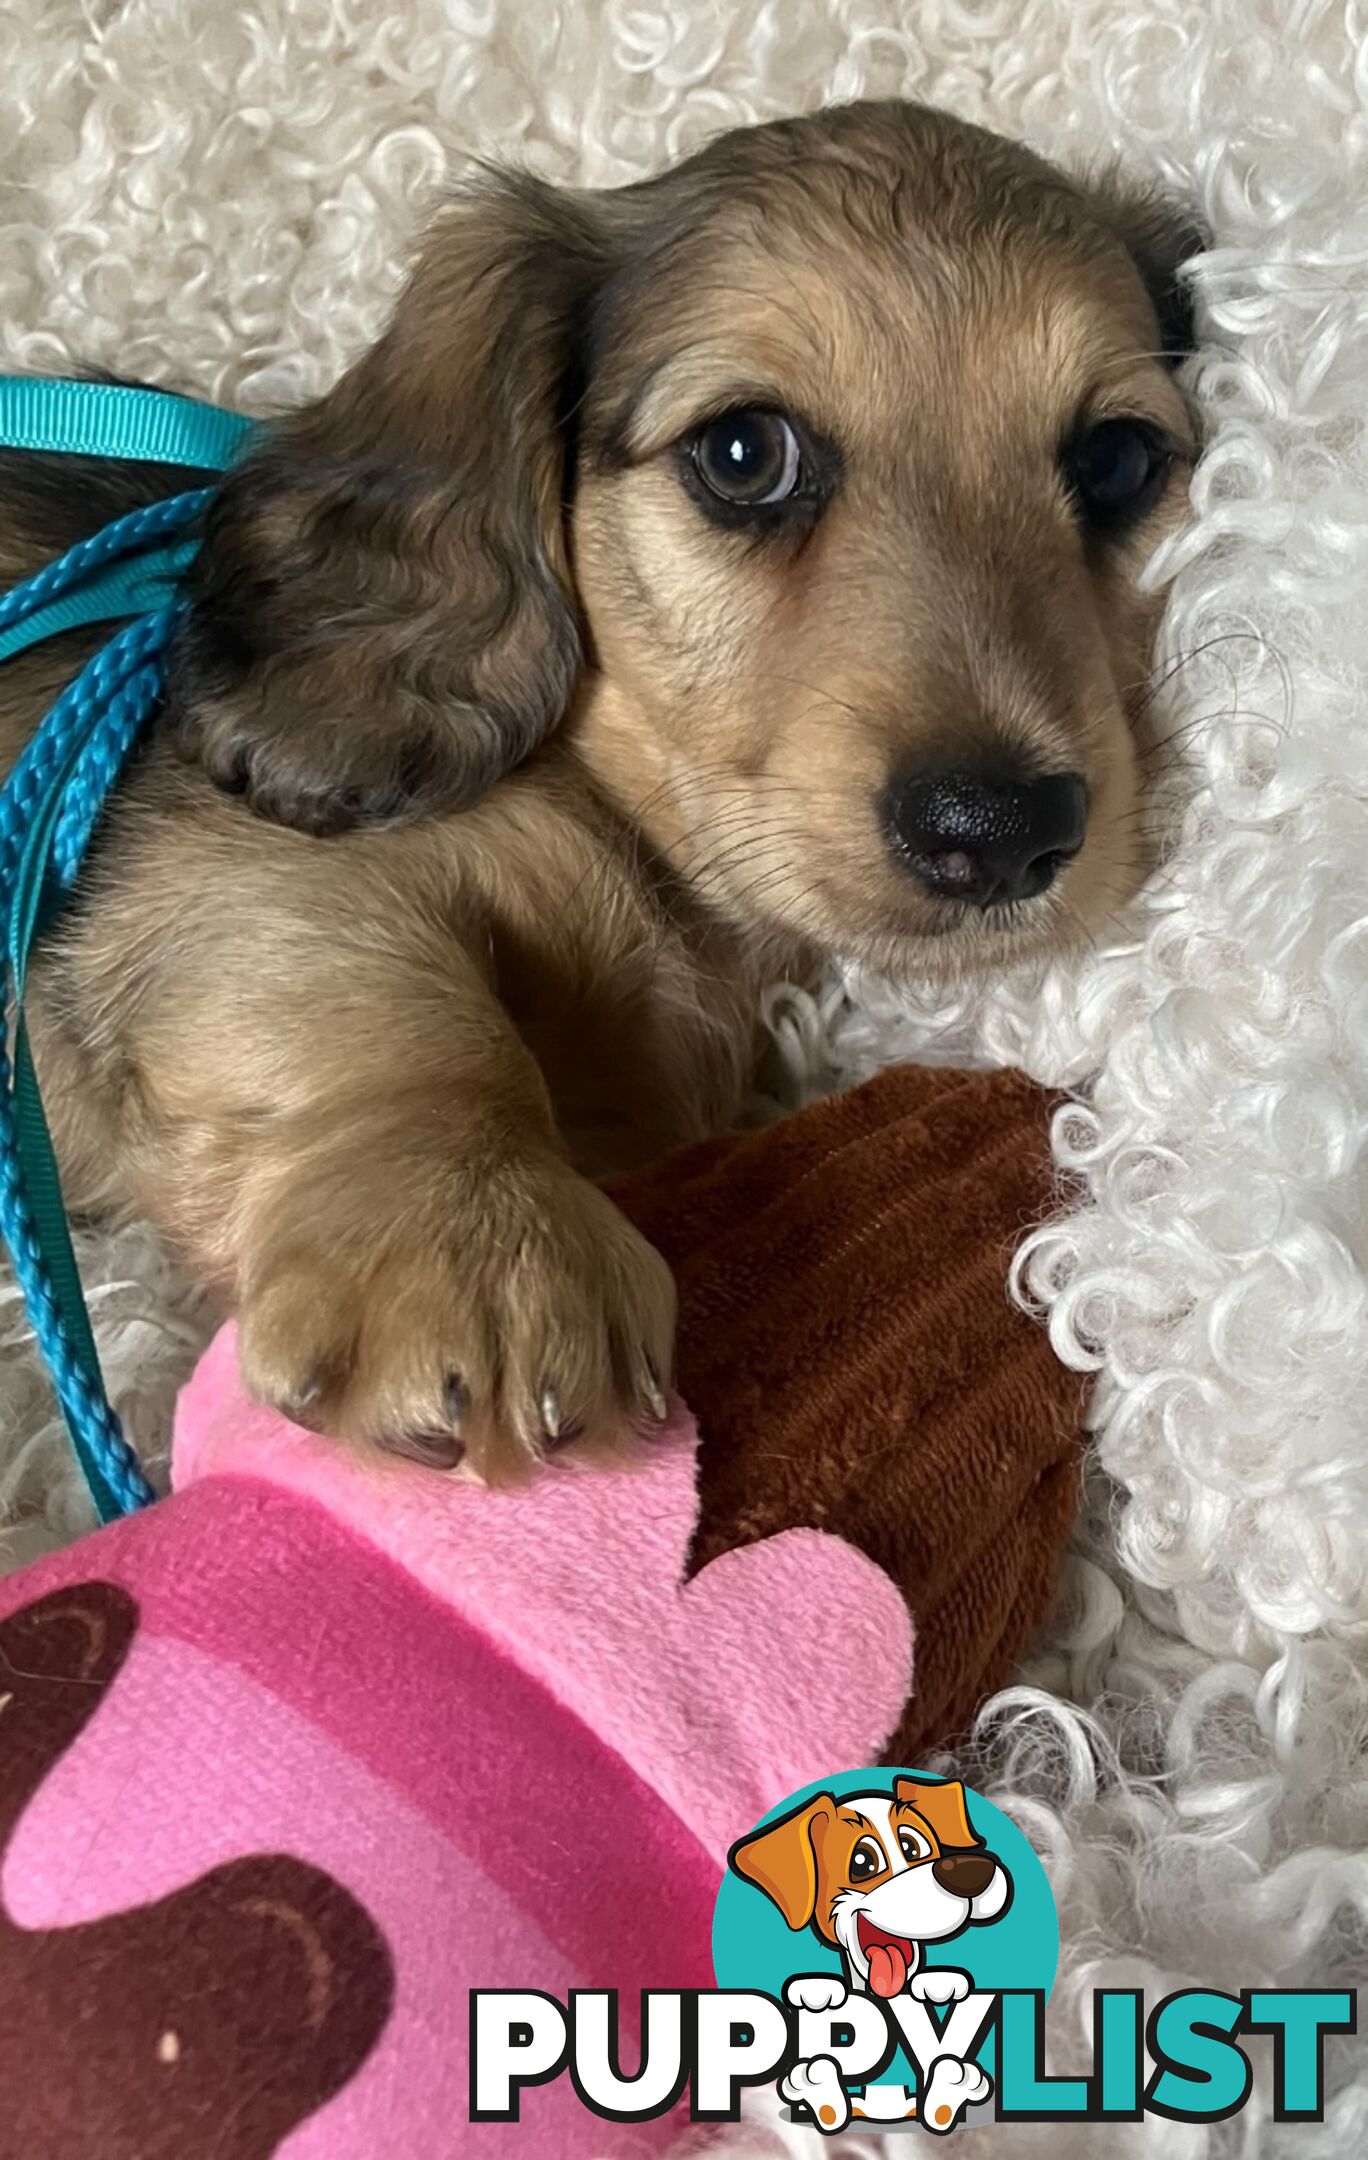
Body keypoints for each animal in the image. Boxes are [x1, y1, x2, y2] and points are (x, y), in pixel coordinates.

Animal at [0, 101, 1192, 1486]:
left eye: (1116, 460)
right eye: (745, 454)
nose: (999, 834)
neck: (634, 827)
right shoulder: (213, 873)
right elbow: (386, 998)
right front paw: (474, 1230)